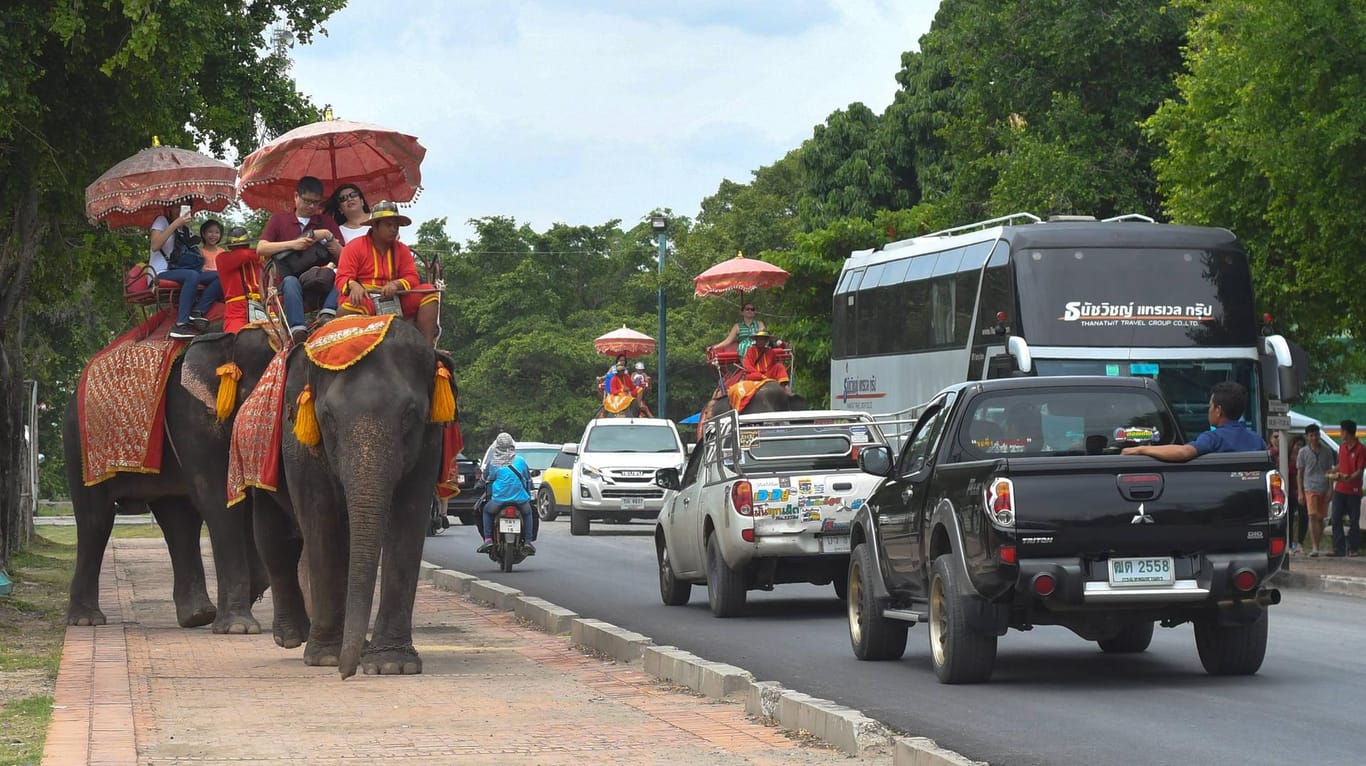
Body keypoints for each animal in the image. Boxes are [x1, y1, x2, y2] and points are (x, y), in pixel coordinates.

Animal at [63, 324, 277, 630]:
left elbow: (243, 499)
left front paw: (249, 597)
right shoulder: (190, 417)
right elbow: (218, 499)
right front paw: (239, 627)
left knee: (180, 521)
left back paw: (198, 615)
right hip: (80, 444)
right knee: (96, 519)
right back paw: (86, 621)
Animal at [251, 316, 448, 674]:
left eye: (409, 414)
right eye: (327, 418)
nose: (347, 674)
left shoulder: (430, 440)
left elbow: (408, 518)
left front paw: (390, 665)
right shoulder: (298, 444)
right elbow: (321, 518)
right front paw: (327, 658)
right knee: (273, 537)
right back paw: (293, 636)